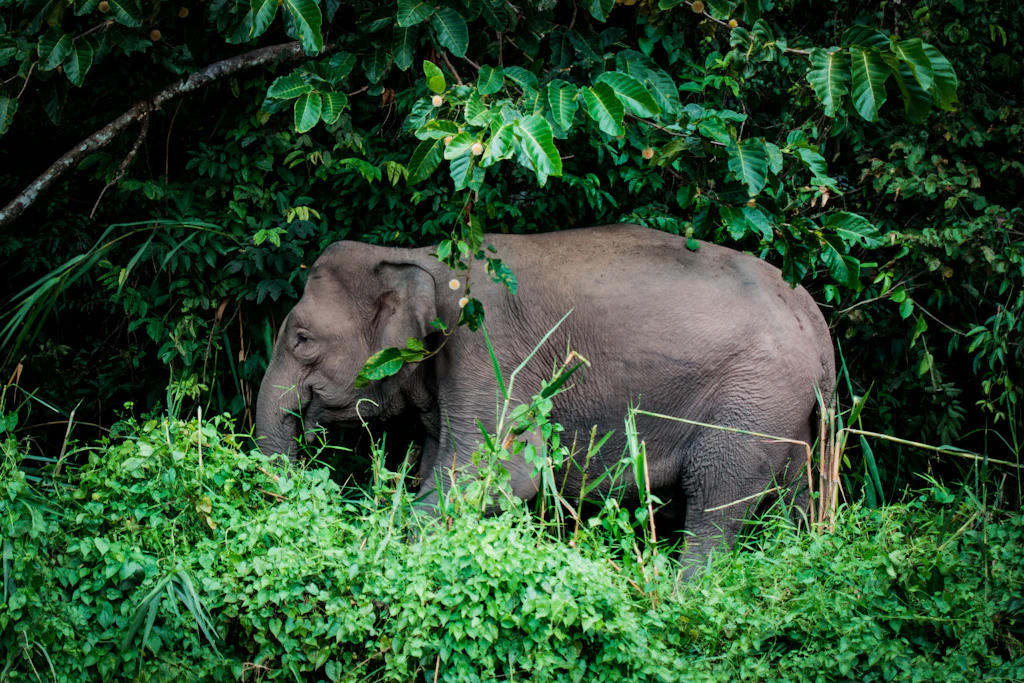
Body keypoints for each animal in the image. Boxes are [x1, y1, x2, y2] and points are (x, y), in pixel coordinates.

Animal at [256, 223, 835, 568]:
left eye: (302, 339)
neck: (415, 256)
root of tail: (815, 320)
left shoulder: (489, 347)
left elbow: (500, 475)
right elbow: (442, 469)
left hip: (753, 400)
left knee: (715, 498)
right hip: (785, 411)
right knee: (790, 498)